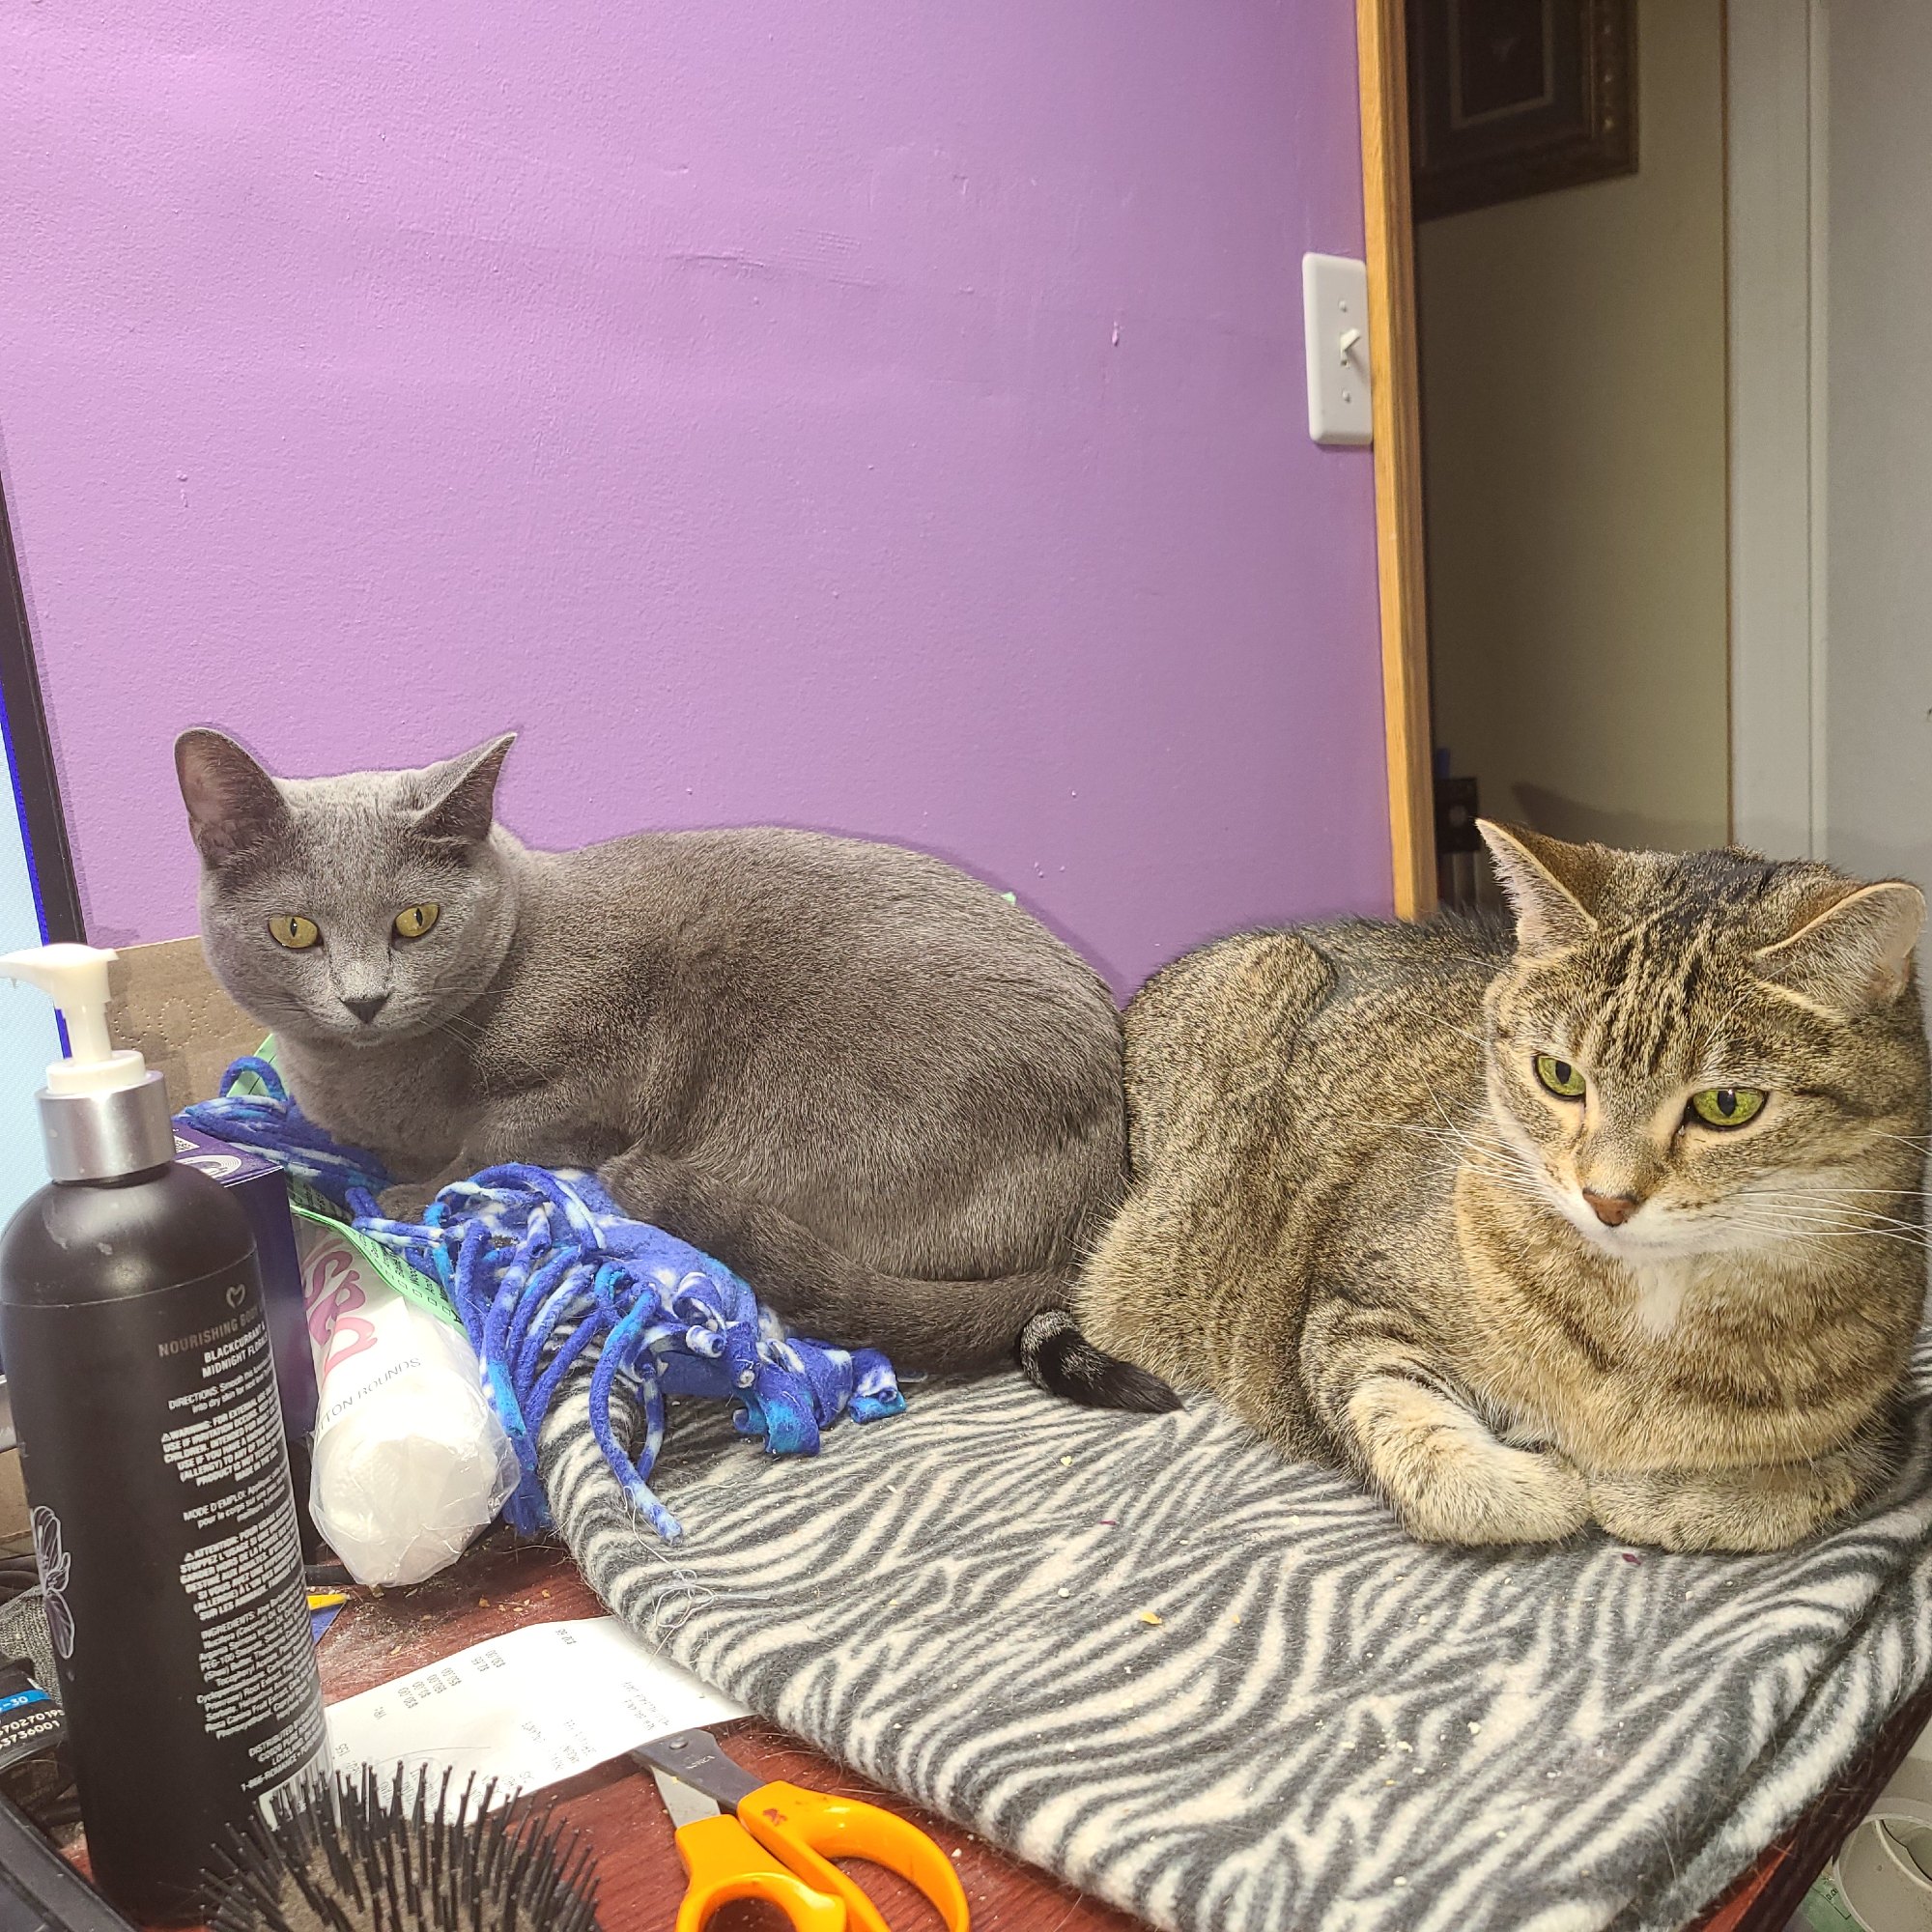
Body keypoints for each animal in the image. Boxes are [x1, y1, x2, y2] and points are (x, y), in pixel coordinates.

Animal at [173, 727, 1174, 1402]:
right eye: (295, 930)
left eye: (415, 920)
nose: (365, 998)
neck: (374, 1082)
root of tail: (1095, 1202)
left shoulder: (589, 1071)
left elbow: (493, 1141)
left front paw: (407, 1196)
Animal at [1065, 822, 1931, 1552]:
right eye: (1559, 1075)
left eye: (1727, 1105)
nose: (1607, 1199)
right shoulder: (1347, 1313)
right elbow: (1430, 1454)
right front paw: (1550, 1480)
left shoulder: (1889, 1430)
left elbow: (1785, 1495)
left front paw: (1647, 1491)